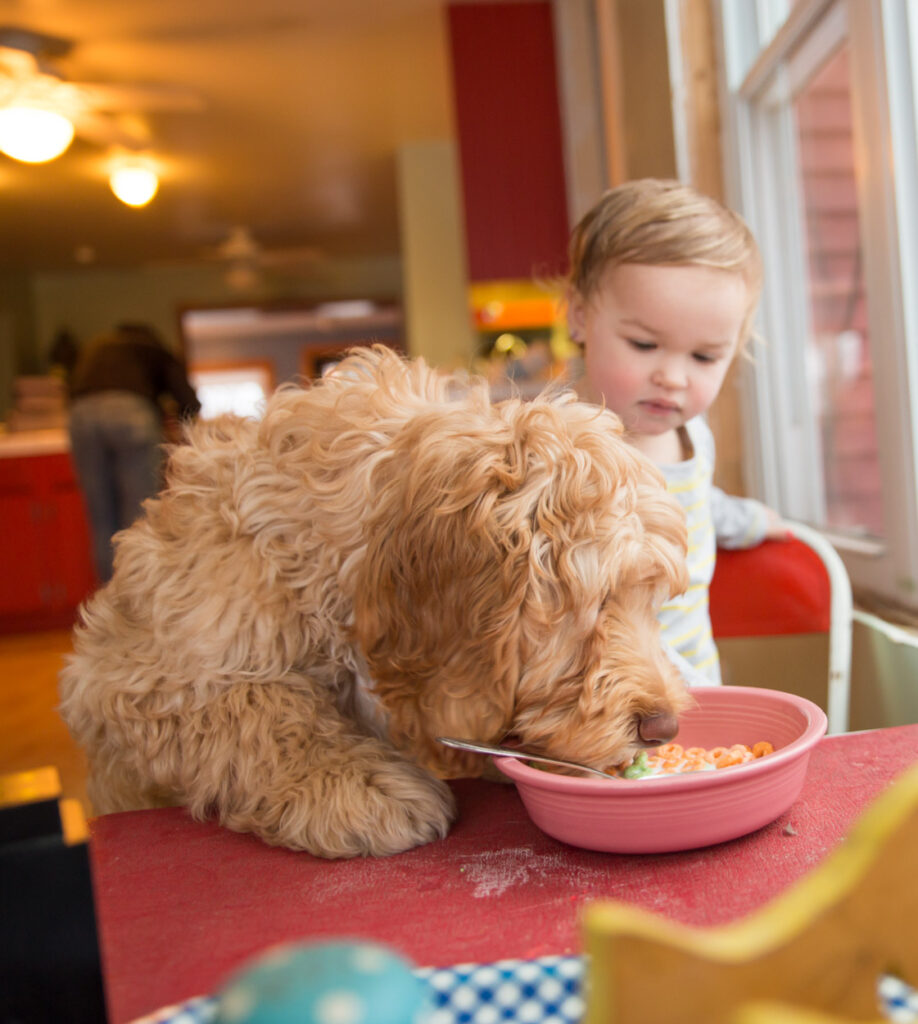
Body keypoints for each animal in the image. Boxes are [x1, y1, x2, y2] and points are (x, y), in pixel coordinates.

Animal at [57, 344, 688, 856]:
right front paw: (359, 785)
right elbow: (254, 705)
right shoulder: (136, 676)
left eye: (651, 600)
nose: (664, 728)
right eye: (595, 601)